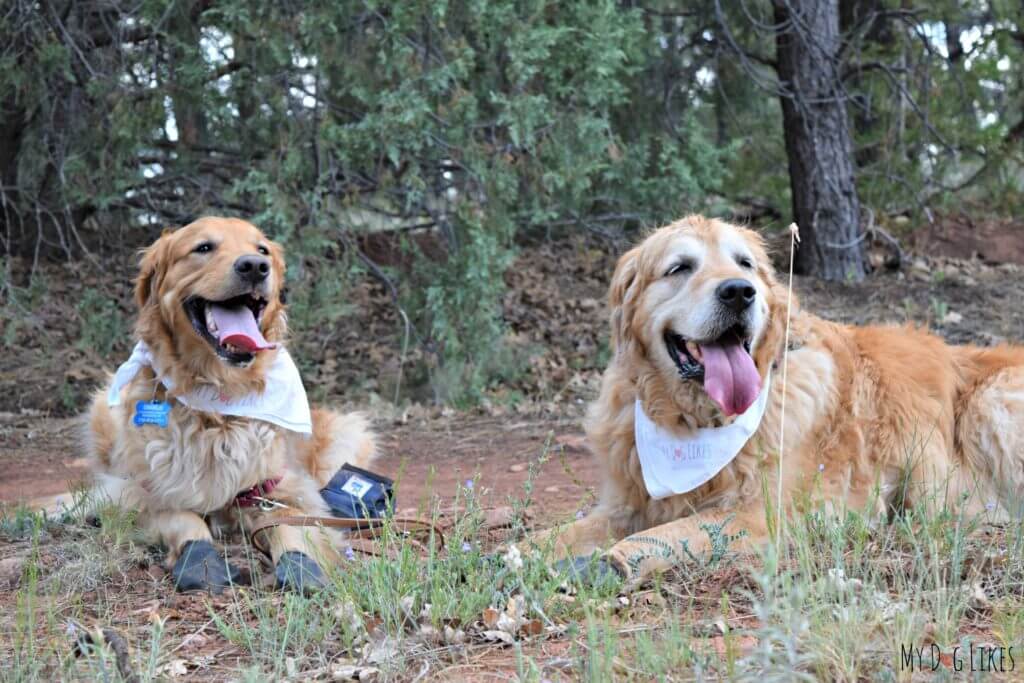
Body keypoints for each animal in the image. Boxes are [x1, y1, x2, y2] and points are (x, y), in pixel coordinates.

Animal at [83, 218, 372, 593]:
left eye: (262, 249)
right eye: (204, 247)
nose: (255, 266)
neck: (219, 402)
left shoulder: (287, 493)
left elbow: (290, 528)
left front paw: (301, 566)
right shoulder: (141, 492)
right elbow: (183, 518)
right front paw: (200, 559)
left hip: (349, 433)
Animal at [536, 215, 1024, 589]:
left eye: (745, 263)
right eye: (680, 268)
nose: (739, 291)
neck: (691, 420)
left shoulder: (759, 514)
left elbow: (663, 536)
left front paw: (603, 564)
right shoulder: (627, 504)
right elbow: (552, 536)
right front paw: (529, 557)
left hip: (991, 403)